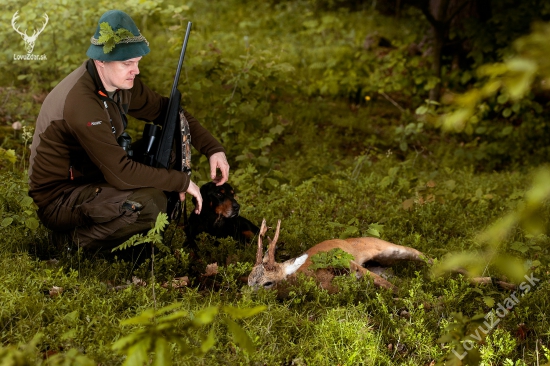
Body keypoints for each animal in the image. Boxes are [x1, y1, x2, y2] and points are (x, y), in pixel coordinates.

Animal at [248, 219, 434, 294]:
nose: (248, 299)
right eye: (249, 282)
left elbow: (388, 285)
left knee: (416, 252)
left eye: (268, 283)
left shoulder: (346, 262)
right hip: (382, 262)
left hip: (382, 247)